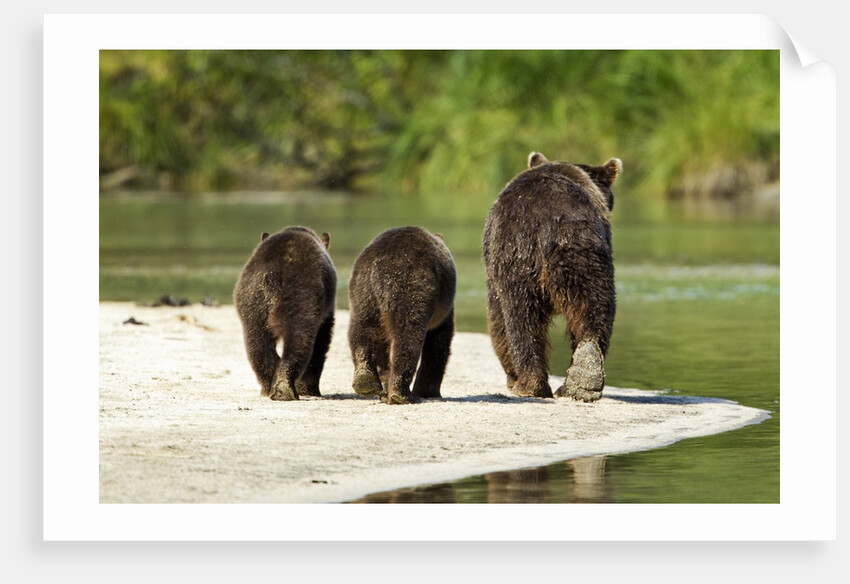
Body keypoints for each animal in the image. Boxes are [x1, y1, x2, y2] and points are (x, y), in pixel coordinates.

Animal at [233, 226, 337, 401]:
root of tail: (272, 275)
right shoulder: (325, 311)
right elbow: (321, 342)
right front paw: (309, 388)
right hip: (300, 296)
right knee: (298, 339)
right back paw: (285, 388)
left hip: (252, 302)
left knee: (257, 343)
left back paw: (268, 386)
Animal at [347, 226, 456, 405]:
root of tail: (379, 262)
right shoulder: (443, 311)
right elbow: (439, 341)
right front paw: (428, 390)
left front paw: (383, 390)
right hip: (411, 286)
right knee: (407, 336)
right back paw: (403, 394)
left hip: (363, 289)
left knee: (361, 328)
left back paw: (365, 380)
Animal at [482, 151, 622, 402]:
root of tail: (552, 224)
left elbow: (496, 320)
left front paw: (511, 376)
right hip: (585, 257)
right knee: (595, 309)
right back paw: (583, 377)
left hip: (517, 260)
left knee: (519, 319)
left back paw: (529, 385)